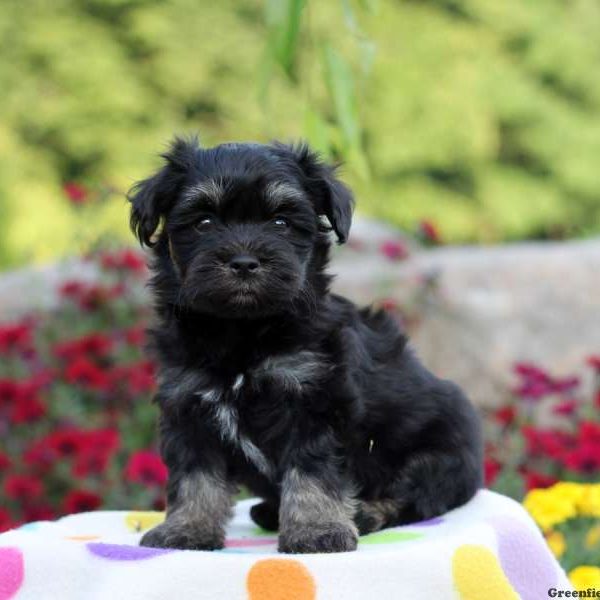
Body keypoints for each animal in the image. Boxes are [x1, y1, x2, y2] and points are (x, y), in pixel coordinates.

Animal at [127, 136, 482, 552]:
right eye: (204, 222)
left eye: (281, 222)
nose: (244, 262)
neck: (242, 332)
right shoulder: (188, 405)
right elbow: (195, 477)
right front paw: (186, 529)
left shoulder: (314, 401)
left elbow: (312, 473)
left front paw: (317, 530)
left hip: (440, 454)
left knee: (415, 494)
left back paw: (364, 513)